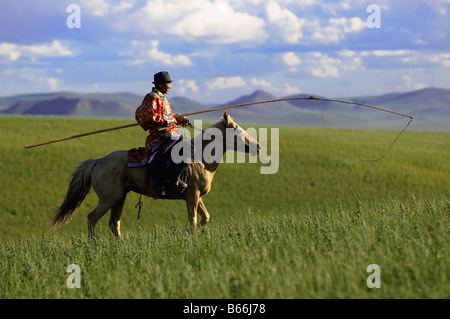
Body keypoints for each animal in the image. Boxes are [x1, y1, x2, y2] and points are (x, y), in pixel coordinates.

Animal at [50, 113, 260, 240]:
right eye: (236, 128)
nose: (257, 146)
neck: (200, 157)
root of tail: (98, 161)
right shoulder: (192, 195)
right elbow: (193, 219)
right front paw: (188, 236)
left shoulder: (196, 196)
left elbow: (205, 217)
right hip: (109, 198)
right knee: (92, 218)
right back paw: (92, 245)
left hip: (119, 198)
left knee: (113, 222)